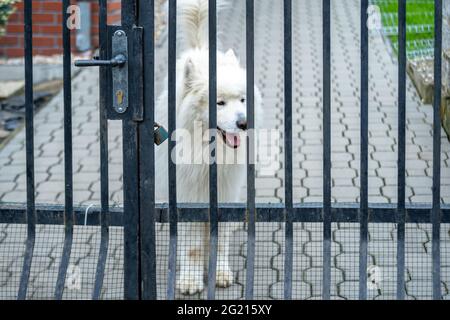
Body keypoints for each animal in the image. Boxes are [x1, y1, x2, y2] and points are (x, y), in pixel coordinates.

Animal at [155, 0, 262, 296]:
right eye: (219, 102)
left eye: (242, 99)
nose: (244, 122)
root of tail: (201, 51)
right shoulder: (189, 193)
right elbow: (192, 246)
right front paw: (190, 280)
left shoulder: (225, 190)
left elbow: (221, 236)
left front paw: (221, 272)